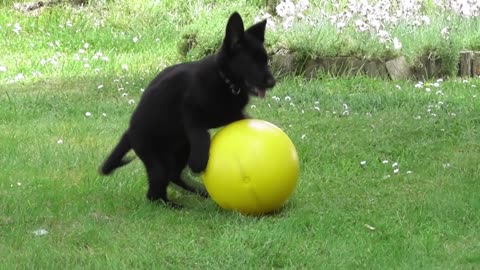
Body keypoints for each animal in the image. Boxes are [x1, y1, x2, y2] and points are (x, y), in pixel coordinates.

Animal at [99, 11, 276, 208]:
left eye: (265, 60)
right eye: (252, 61)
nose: (273, 82)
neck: (224, 80)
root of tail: (129, 133)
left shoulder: (234, 113)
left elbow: (243, 117)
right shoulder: (190, 112)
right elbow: (201, 134)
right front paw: (199, 162)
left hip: (181, 149)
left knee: (173, 176)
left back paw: (202, 192)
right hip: (157, 160)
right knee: (155, 193)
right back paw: (174, 206)